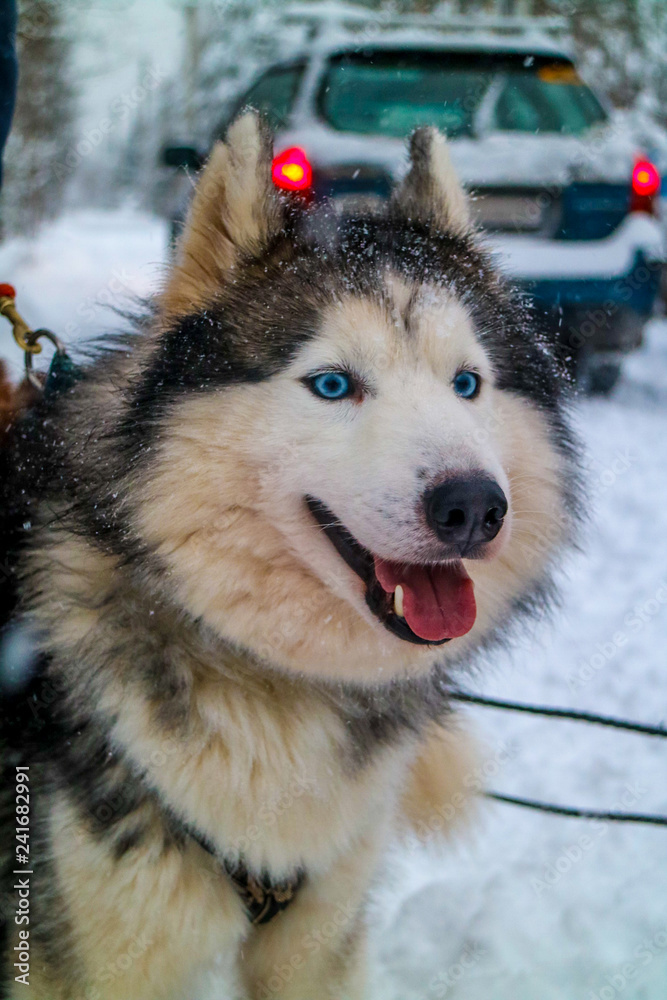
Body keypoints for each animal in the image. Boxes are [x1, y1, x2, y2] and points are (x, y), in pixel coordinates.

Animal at [1, 111, 580, 1000]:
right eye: (333, 385)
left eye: (466, 384)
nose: (474, 507)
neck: (274, 685)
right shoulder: (99, 953)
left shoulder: (317, 941)